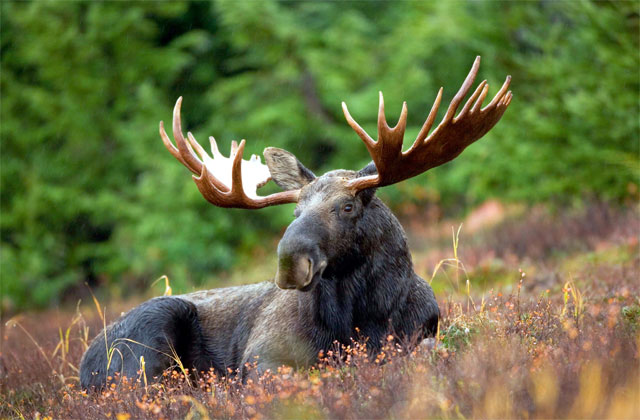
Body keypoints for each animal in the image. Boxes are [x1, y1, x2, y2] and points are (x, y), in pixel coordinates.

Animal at [80, 56, 512, 390]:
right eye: (295, 212)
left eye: (347, 207)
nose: (290, 262)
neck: (364, 317)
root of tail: (84, 367)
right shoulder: (262, 356)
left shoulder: (421, 334)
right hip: (149, 339)